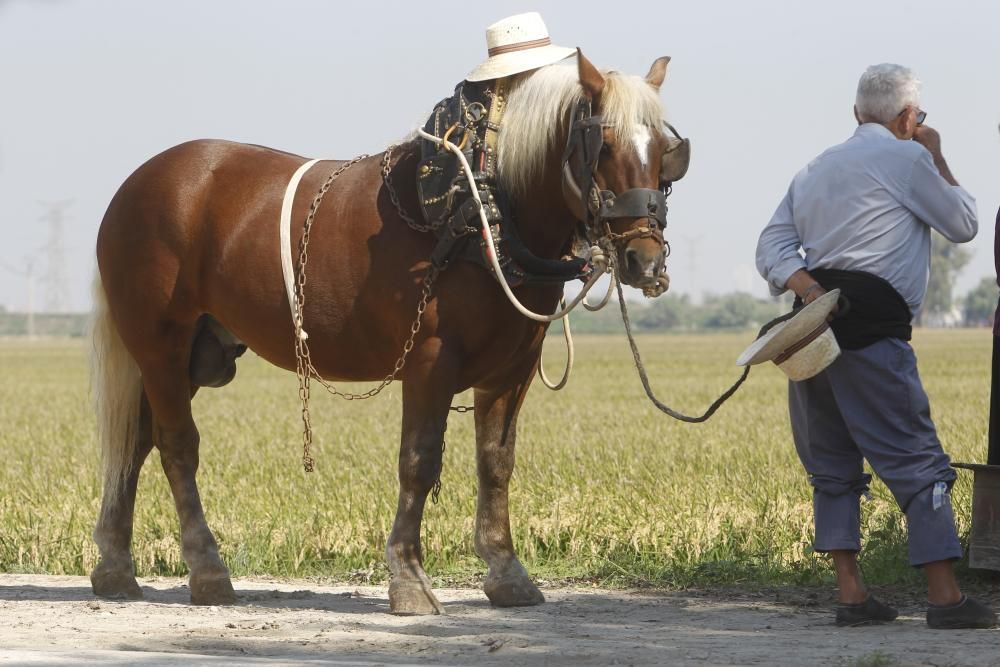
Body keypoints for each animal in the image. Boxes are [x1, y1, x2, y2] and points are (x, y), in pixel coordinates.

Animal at [92, 52, 688, 616]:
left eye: (665, 150)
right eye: (602, 145)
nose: (645, 260)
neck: (484, 211)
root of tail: (133, 186)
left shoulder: (511, 369)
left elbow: (496, 462)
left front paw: (506, 571)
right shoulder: (430, 360)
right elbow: (419, 461)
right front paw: (408, 579)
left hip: (196, 352)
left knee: (137, 440)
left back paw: (114, 567)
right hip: (160, 343)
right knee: (176, 445)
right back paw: (207, 570)